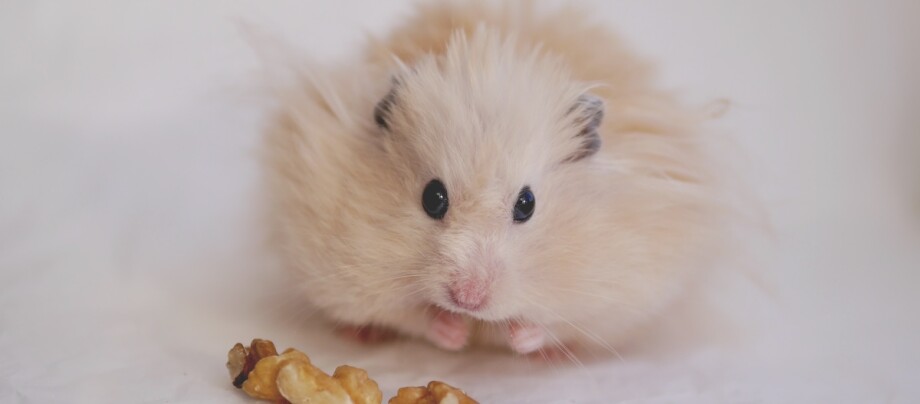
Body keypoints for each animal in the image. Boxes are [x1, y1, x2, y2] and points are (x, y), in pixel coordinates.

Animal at [263, 1, 725, 358]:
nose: (467, 300)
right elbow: (408, 314)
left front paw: (517, 335)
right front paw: (454, 331)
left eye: (527, 204)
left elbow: (558, 323)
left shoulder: (628, 289)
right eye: (433, 198)